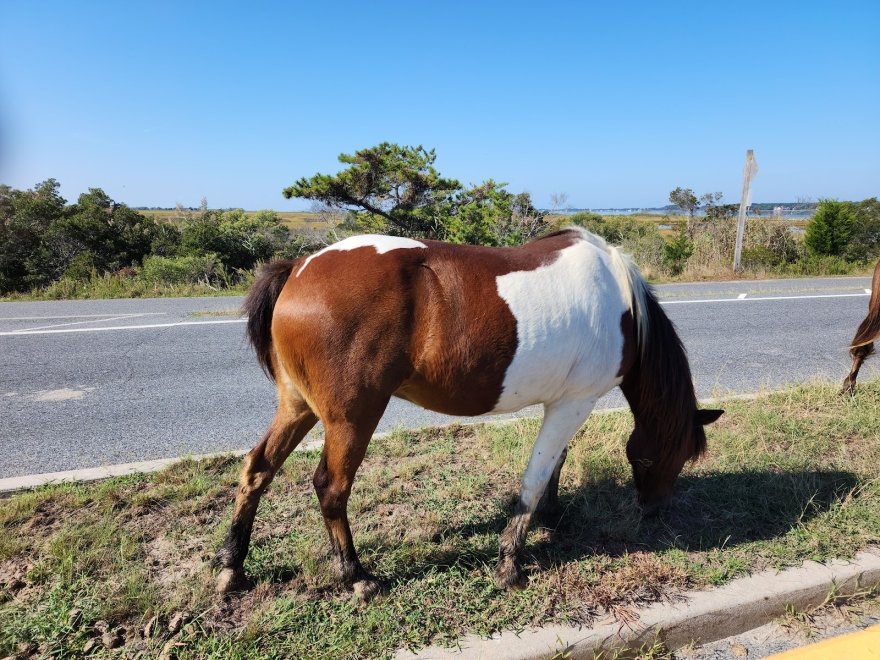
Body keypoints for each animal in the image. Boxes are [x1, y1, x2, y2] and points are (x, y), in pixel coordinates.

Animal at [213, 227, 720, 600]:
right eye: (674, 455)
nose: (653, 510)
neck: (624, 307)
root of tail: (298, 269)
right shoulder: (575, 401)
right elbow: (534, 478)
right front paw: (510, 563)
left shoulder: (564, 403)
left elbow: (554, 463)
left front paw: (553, 515)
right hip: (352, 416)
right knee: (331, 488)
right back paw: (356, 576)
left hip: (297, 404)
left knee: (258, 469)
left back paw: (232, 568)